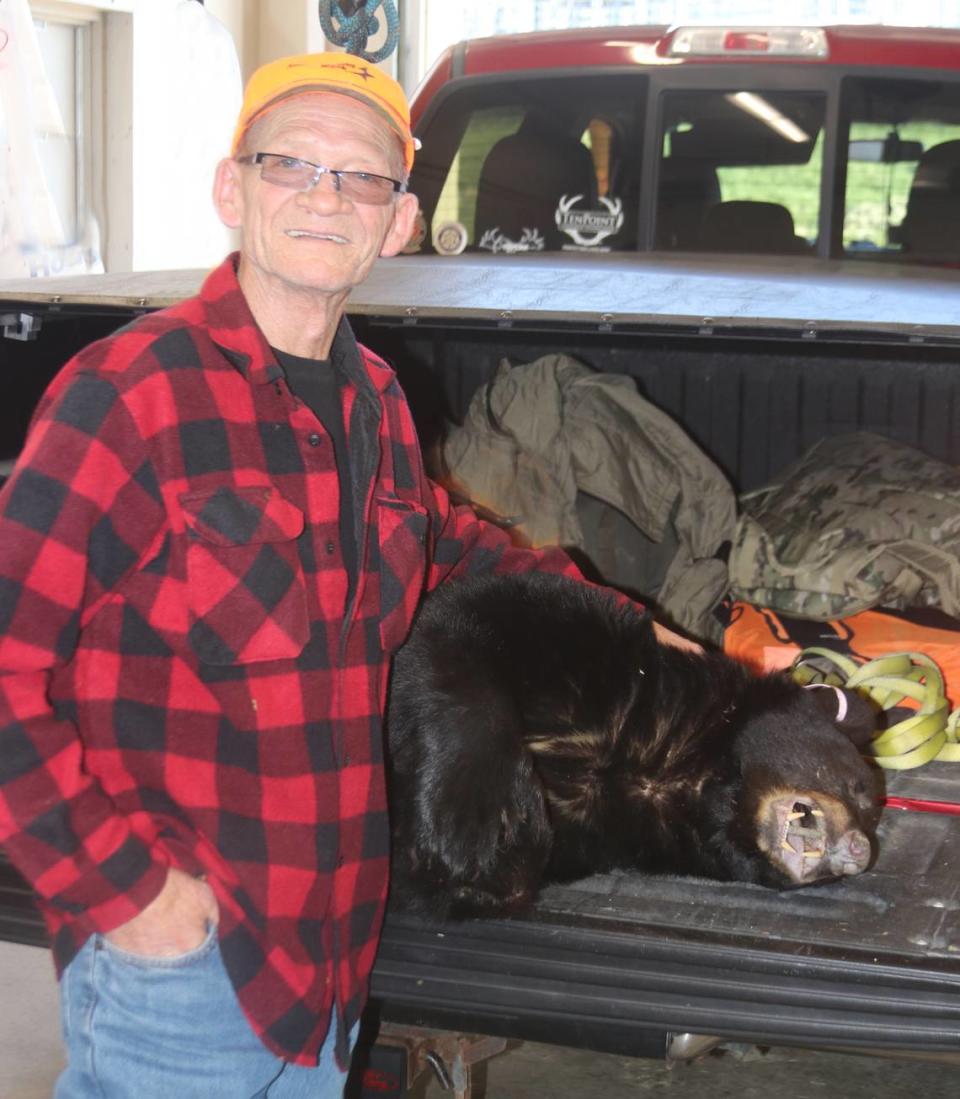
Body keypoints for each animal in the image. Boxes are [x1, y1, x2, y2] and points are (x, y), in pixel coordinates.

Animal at [384, 571, 878, 923]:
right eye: (857, 788)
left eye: (872, 814)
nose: (860, 852)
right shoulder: (589, 642)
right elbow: (460, 619)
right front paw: (472, 819)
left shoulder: (603, 830)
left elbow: (477, 888)